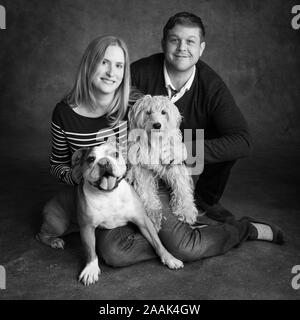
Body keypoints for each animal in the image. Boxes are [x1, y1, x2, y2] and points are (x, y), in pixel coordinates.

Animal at [126, 94, 199, 230]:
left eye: (163, 112)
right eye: (148, 112)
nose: (157, 125)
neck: (155, 142)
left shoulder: (174, 163)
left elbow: (182, 187)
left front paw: (186, 210)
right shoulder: (142, 168)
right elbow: (147, 191)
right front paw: (153, 213)